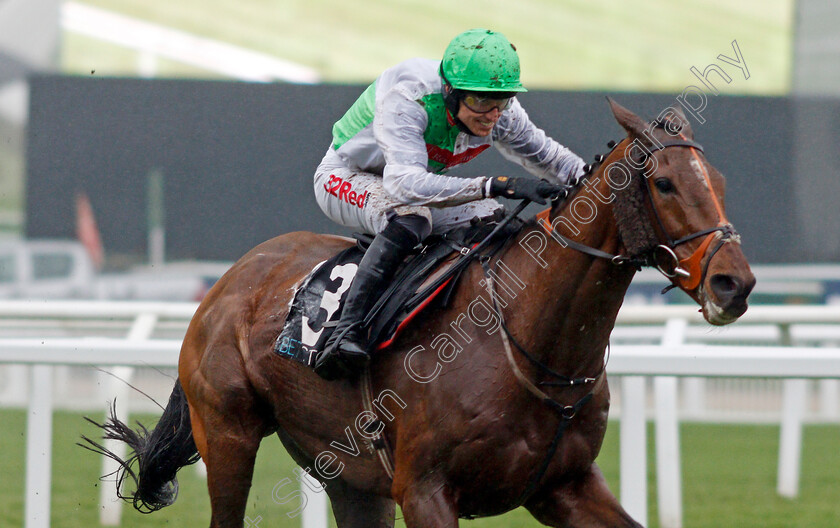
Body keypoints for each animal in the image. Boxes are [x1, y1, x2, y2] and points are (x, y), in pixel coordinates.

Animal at [87, 99, 756, 528]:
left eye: (719, 181)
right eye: (664, 183)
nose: (736, 283)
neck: (526, 343)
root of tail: (229, 280)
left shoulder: (562, 485)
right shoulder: (426, 491)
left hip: (348, 475)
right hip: (229, 432)